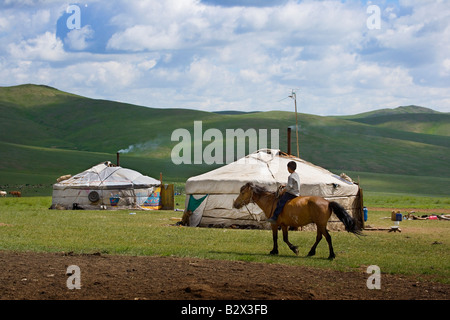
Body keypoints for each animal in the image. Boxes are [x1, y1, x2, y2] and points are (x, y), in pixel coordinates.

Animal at [232, 181, 362, 258]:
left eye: (242, 192)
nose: (235, 204)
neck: (270, 201)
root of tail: (328, 202)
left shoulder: (274, 224)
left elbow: (275, 238)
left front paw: (278, 251)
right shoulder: (284, 225)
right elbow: (284, 238)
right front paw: (291, 249)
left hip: (321, 224)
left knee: (327, 237)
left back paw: (331, 255)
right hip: (320, 224)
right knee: (319, 237)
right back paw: (311, 252)